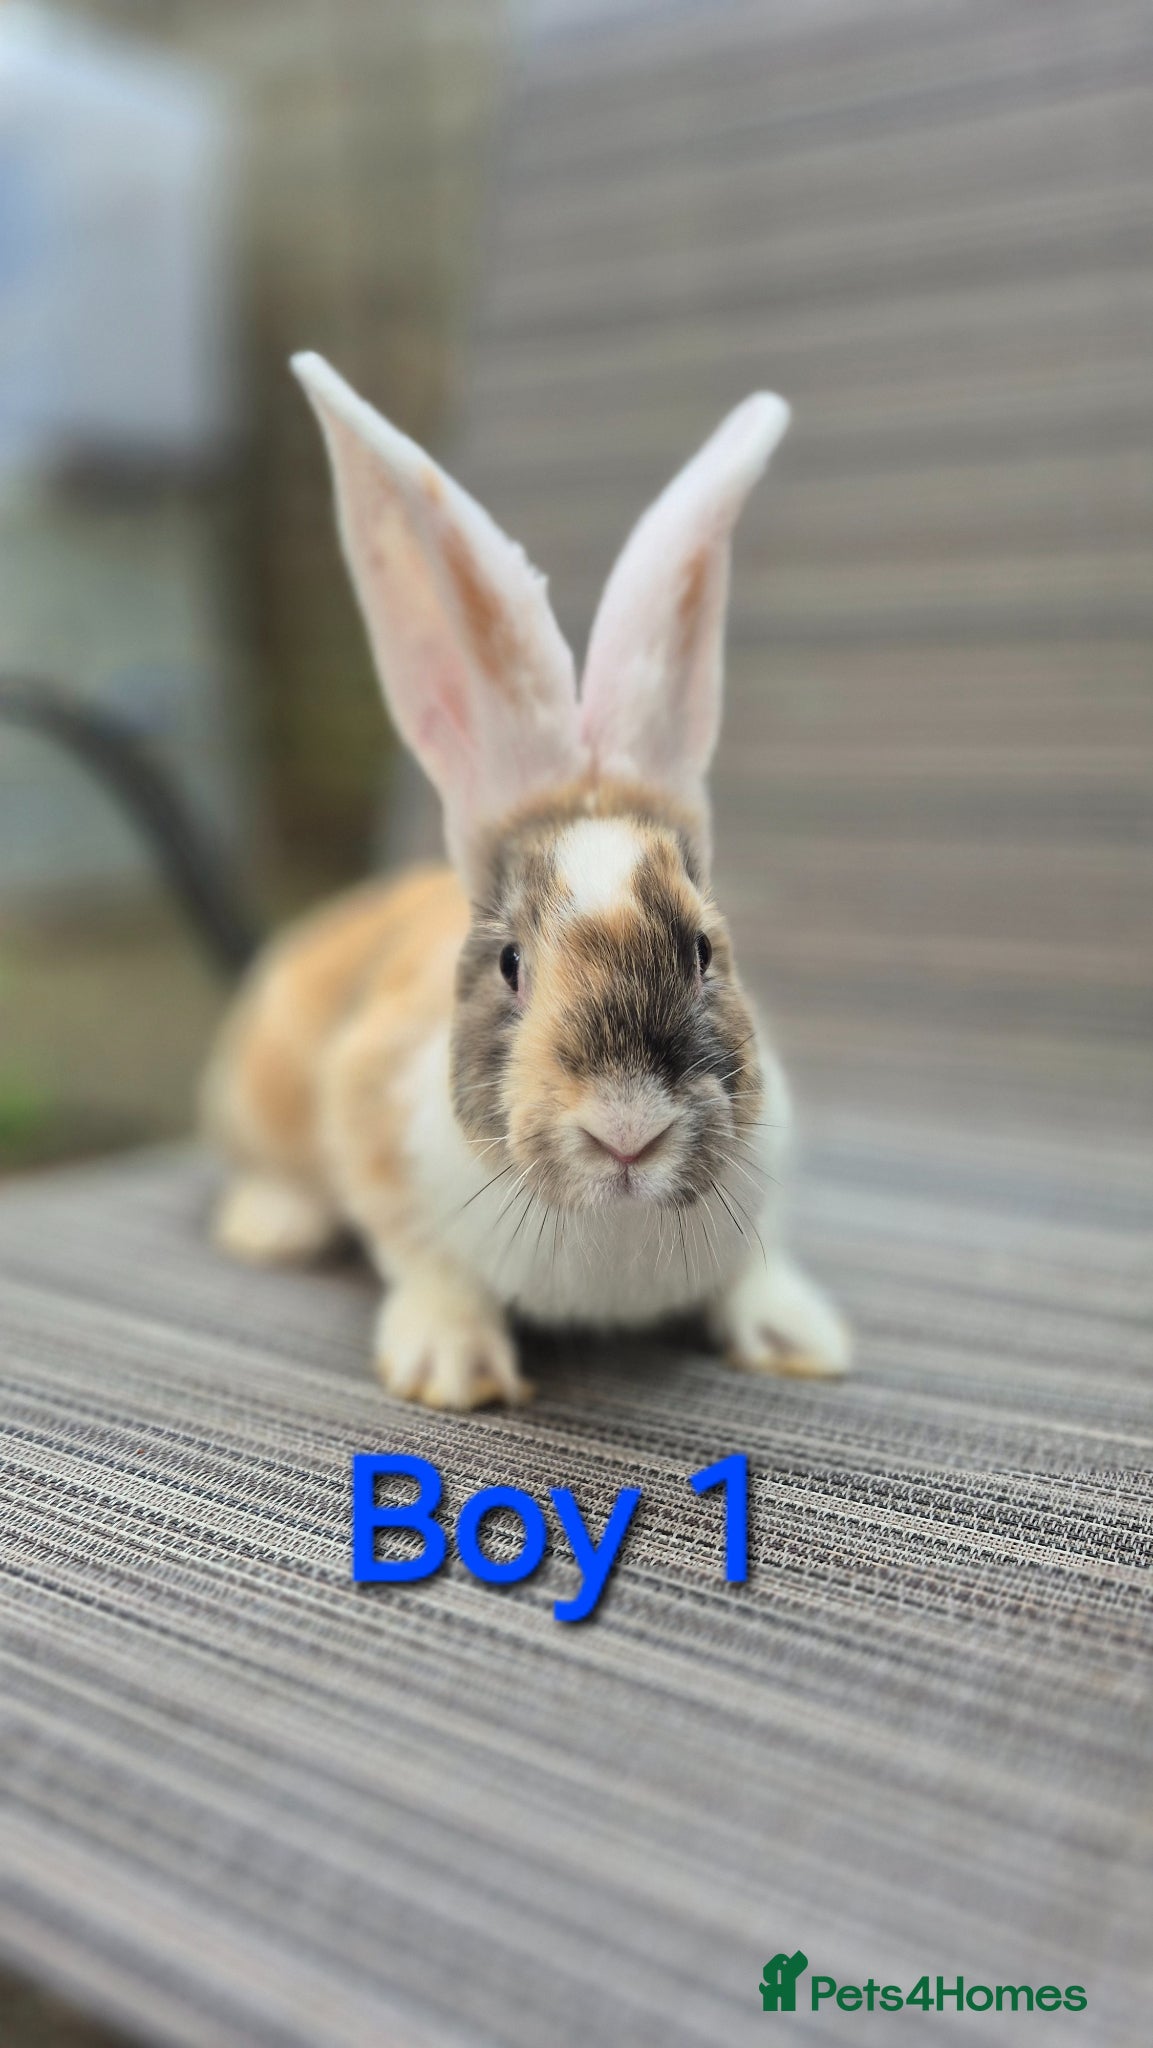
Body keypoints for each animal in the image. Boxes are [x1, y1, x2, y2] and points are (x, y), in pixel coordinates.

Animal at [202, 352, 850, 1409]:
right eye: (510, 964)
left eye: (703, 951)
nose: (627, 1133)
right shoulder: (369, 1116)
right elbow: (426, 1262)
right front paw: (453, 1367)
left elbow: (756, 1269)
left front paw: (798, 1337)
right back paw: (272, 1225)